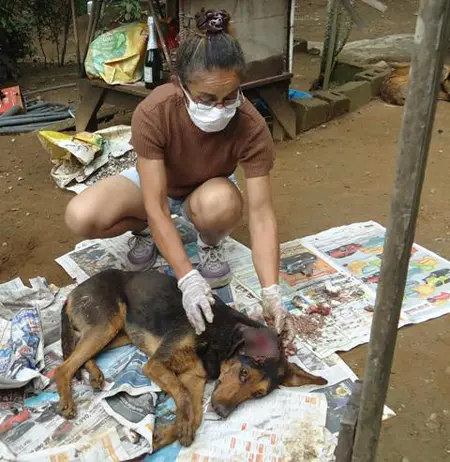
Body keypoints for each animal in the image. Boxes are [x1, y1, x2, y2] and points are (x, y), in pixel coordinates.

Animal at [55, 269, 327, 452]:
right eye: (243, 374)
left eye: (258, 395)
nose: (221, 412)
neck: (221, 337)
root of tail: (72, 292)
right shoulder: (155, 365)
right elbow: (184, 398)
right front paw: (180, 426)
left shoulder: (193, 378)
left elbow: (194, 414)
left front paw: (166, 433)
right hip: (107, 324)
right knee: (63, 367)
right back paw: (68, 400)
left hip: (118, 332)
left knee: (81, 353)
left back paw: (95, 375)